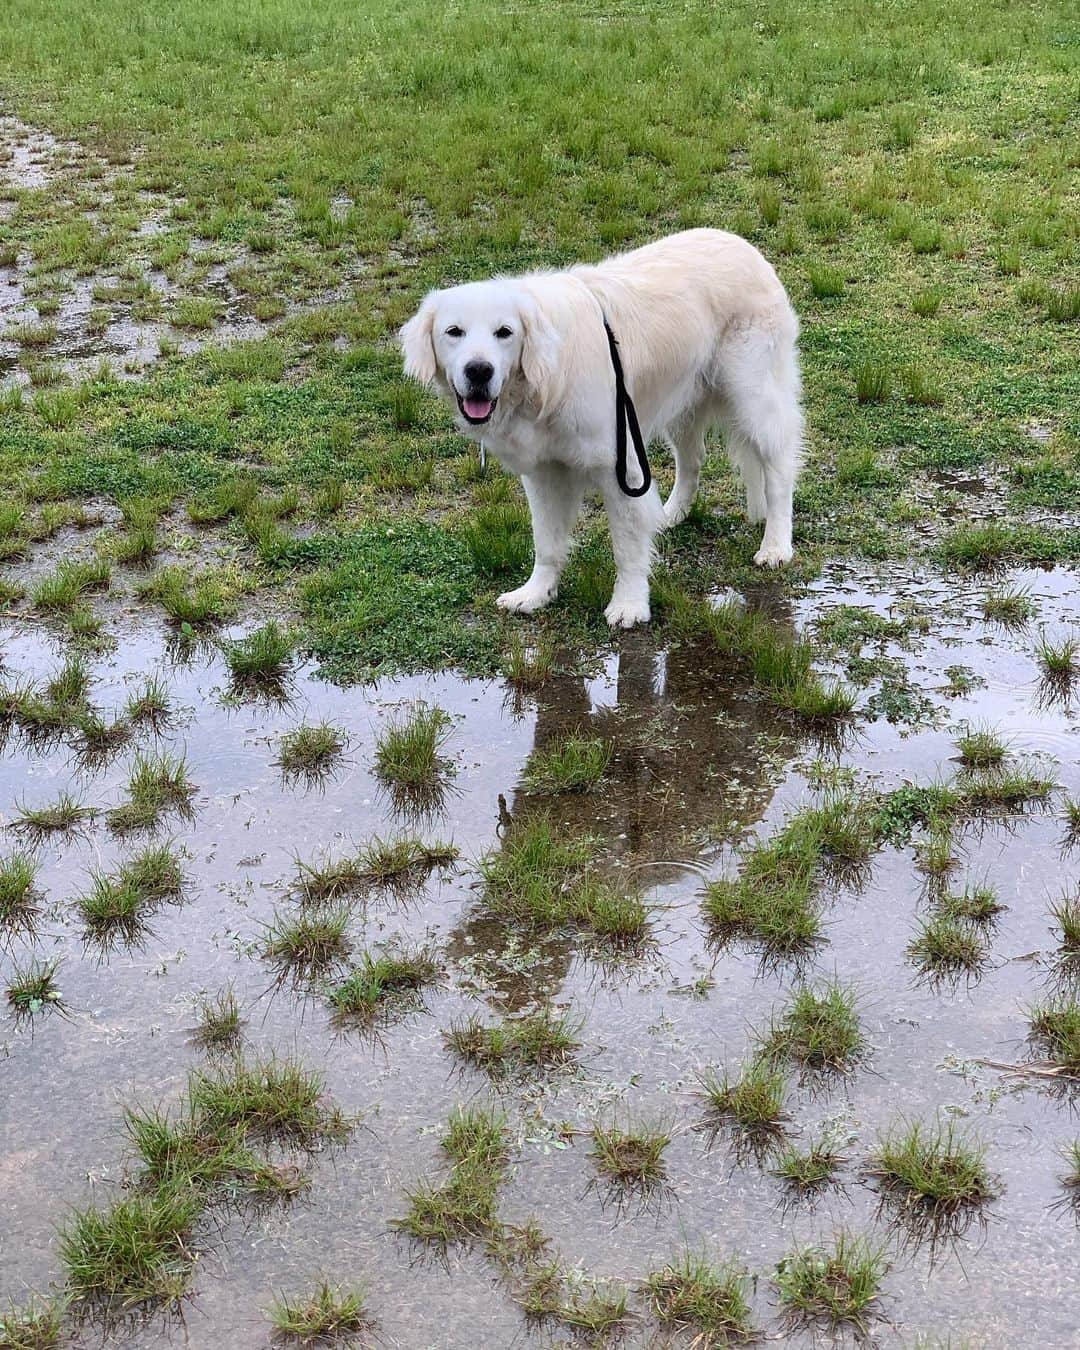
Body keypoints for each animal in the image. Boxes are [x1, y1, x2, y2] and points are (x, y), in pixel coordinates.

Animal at [399, 230, 804, 626]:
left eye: (504, 332)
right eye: (454, 332)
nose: (479, 371)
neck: (546, 380)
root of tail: (742, 244)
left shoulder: (622, 467)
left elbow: (626, 546)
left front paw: (629, 605)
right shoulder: (544, 471)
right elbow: (546, 542)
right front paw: (536, 593)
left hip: (754, 399)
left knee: (778, 471)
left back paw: (775, 545)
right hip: (681, 403)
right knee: (692, 460)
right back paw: (670, 515)